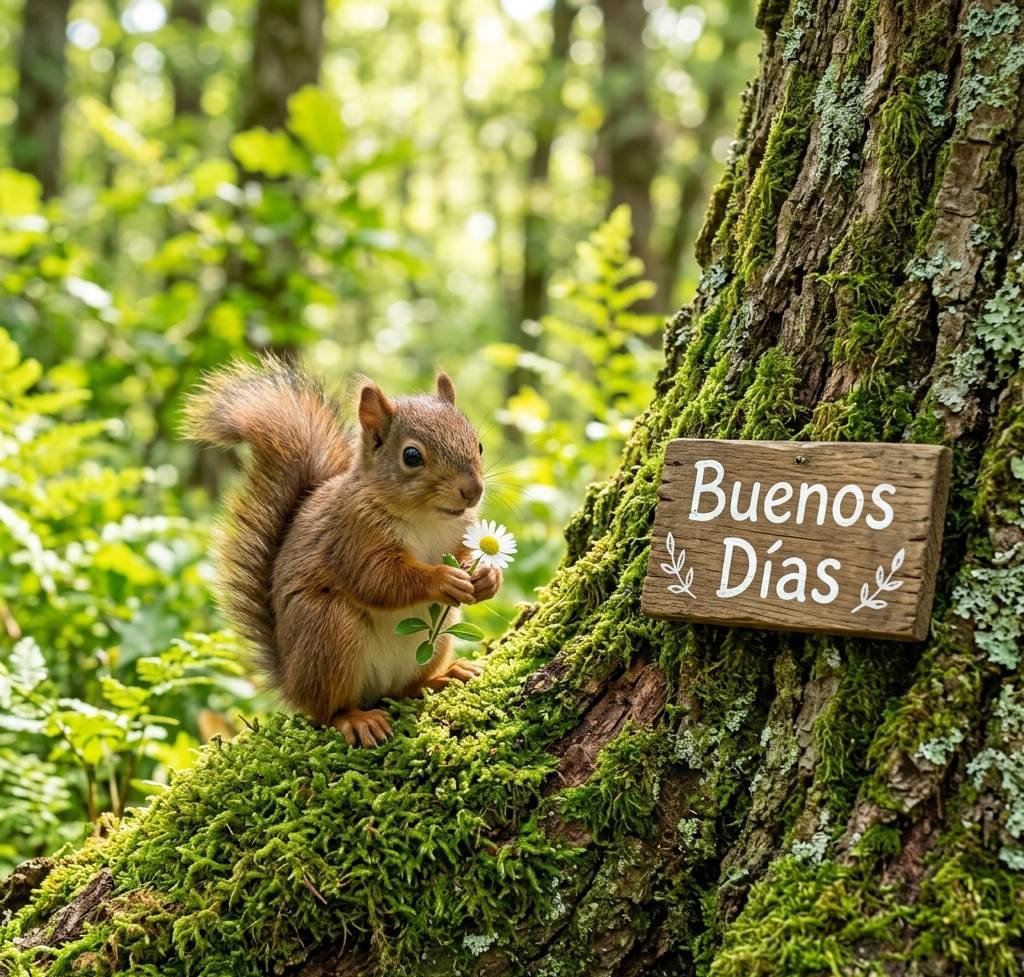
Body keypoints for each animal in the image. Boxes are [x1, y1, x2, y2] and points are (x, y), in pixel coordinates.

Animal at [183, 357, 500, 747]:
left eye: (479, 445)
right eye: (411, 456)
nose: (472, 490)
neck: (426, 518)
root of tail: (290, 681)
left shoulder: (459, 535)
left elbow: (463, 555)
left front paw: (487, 577)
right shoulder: (351, 537)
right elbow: (377, 580)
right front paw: (442, 579)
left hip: (434, 641)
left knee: (403, 690)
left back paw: (443, 676)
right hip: (329, 629)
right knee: (328, 710)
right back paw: (354, 719)